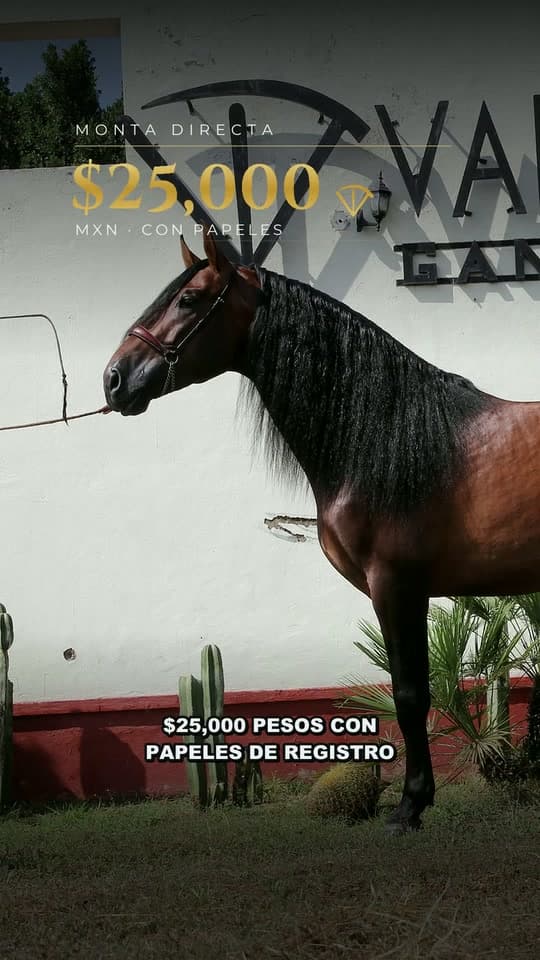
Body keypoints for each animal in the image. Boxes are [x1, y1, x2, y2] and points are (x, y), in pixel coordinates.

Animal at [103, 226, 540, 833]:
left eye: (188, 300)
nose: (114, 379)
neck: (390, 438)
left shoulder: (397, 587)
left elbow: (410, 694)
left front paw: (410, 806)